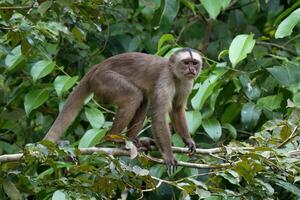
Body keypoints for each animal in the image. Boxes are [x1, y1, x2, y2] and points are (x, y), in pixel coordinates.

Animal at [44, 47, 204, 173]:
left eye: (195, 63)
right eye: (186, 62)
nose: (192, 69)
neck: (175, 75)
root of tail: (97, 67)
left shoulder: (186, 82)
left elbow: (177, 109)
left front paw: (188, 140)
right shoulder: (165, 79)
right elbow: (158, 115)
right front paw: (168, 155)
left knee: (143, 100)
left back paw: (132, 140)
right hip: (103, 80)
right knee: (134, 96)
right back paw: (114, 138)